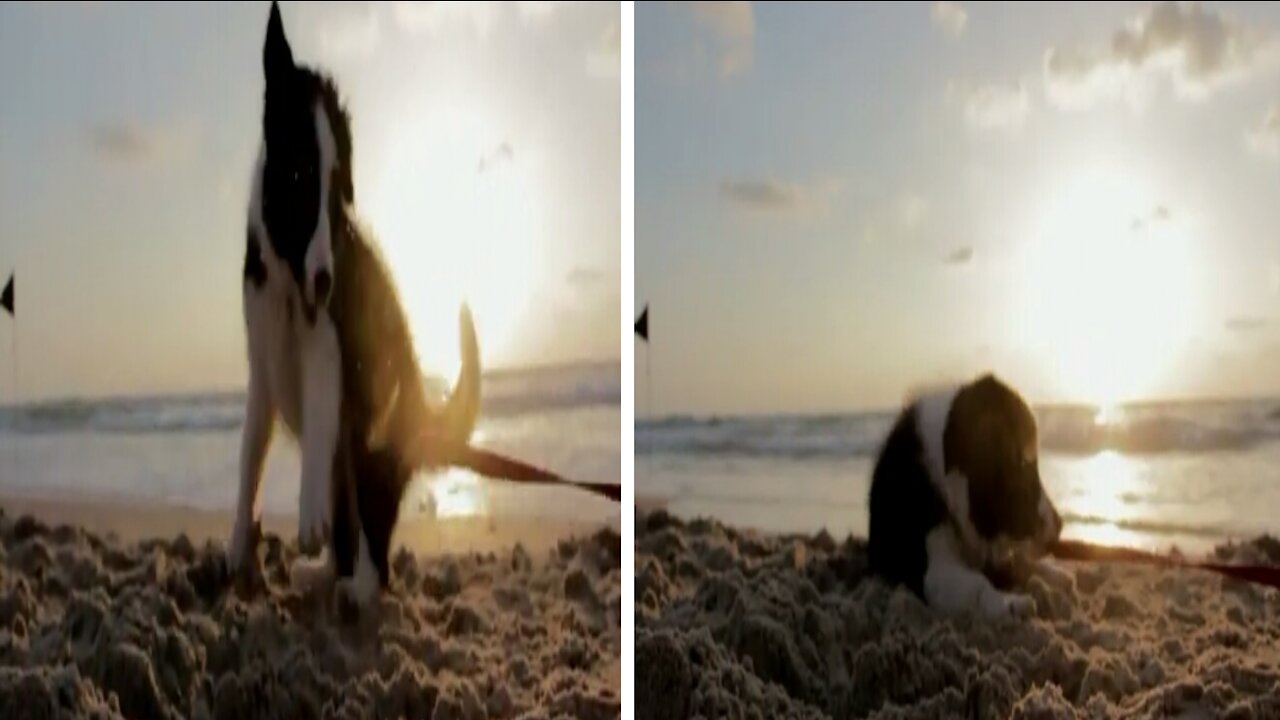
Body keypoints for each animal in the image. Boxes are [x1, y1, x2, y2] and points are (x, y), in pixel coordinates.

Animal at [229, 0, 481, 607]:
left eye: (338, 189)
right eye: (299, 175)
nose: (325, 281)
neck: (287, 276)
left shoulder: (332, 350)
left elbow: (321, 416)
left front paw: (306, 514)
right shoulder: (262, 368)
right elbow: (248, 457)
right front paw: (238, 543)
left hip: (369, 443)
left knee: (374, 549)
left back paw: (357, 588)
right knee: (349, 538)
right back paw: (323, 576)